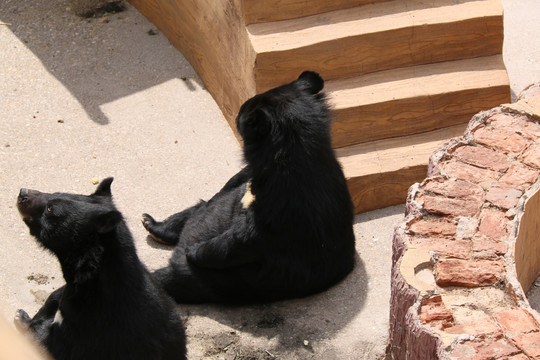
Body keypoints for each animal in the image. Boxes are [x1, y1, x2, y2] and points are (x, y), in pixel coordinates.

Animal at [15, 178, 188, 360]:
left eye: (50, 209)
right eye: (55, 193)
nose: (23, 193)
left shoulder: (87, 327)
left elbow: (47, 343)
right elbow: (55, 298)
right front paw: (24, 317)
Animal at [141, 70, 356, 304]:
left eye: (241, 115)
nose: (236, 114)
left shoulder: (285, 206)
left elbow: (246, 238)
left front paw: (194, 250)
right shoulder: (249, 180)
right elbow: (229, 186)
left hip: (223, 281)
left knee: (178, 278)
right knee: (199, 207)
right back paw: (152, 224)